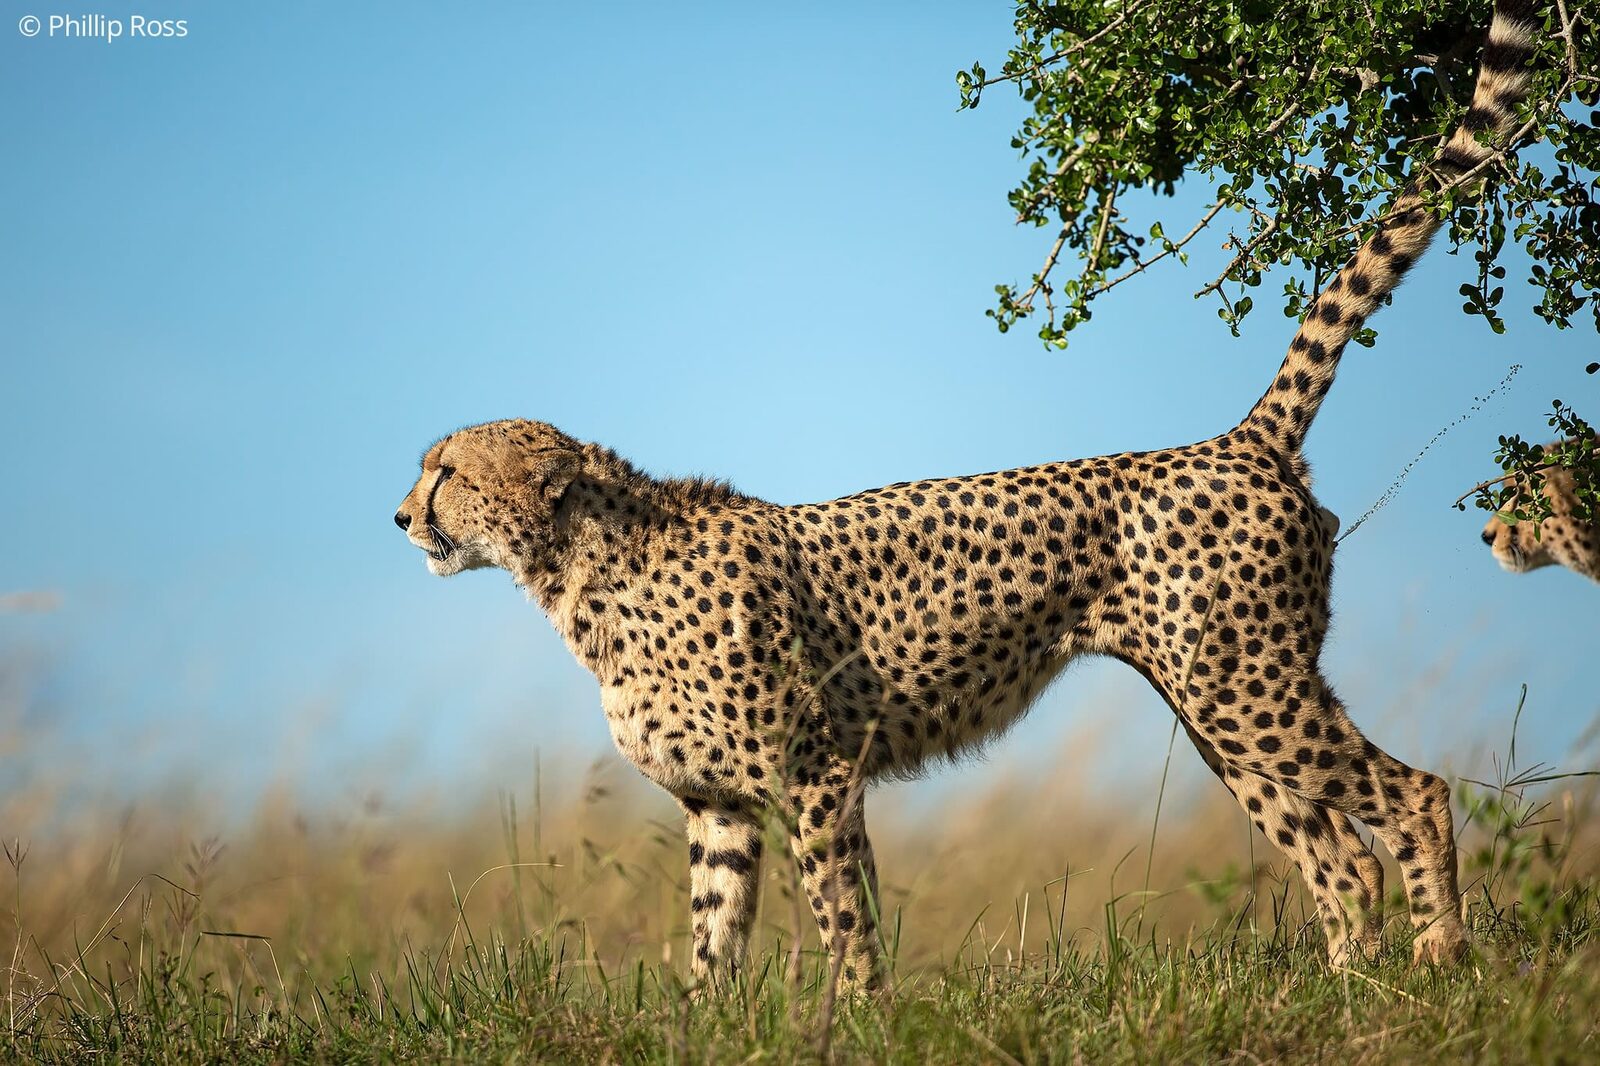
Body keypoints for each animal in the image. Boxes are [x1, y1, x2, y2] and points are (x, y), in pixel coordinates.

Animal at [395, 0, 1540, 987]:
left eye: (447, 469)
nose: (400, 516)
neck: (580, 571)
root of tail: (1236, 440)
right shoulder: (720, 803)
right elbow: (714, 942)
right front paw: (703, 1025)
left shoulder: (818, 770)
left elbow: (844, 917)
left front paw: (861, 1016)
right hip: (1220, 707)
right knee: (1339, 856)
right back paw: (1351, 988)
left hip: (1243, 687)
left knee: (1412, 794)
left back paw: (1439, 960)